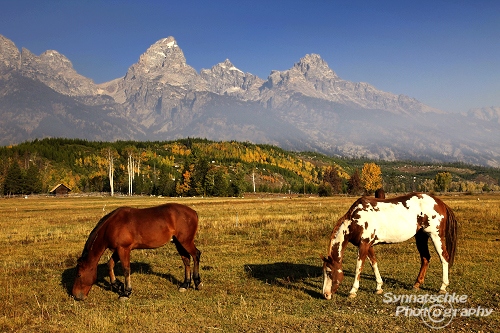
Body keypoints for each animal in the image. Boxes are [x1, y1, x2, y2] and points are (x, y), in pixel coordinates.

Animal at [71, 201, 203, 300]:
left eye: (79, 274)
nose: (75, 295)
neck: (112, 225)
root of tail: (193, 212)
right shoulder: (118, 250)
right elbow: (110, 265)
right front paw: (117, 285)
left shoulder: (124, 249)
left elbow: (126, 269)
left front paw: (126, 292)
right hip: (178, 243)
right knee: (186, 259)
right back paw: (185, 285)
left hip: (185, 241)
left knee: (196, 255)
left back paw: (197, 282)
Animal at [322, 192, 458, 298]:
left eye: (329, 272)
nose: (326, 295)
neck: (354, 220)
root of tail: (440, 203)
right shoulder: (368, 245)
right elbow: (374, 264)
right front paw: (379, 287)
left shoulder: (364, 245)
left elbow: (358, 267)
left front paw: (353, 291)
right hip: (421, 237)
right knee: (425, 258)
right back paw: (416, 285)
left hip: (436, 236)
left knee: (444, 258)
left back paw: (443, 287)